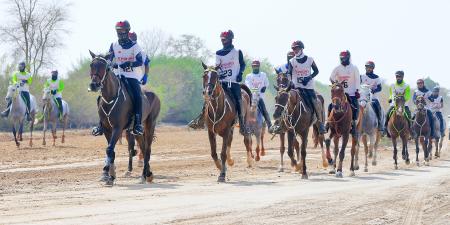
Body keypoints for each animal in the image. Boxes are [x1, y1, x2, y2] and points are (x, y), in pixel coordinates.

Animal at [88, 51, 160, 186]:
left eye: (106, 67)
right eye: (91, 65)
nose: (94, 85)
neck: (110, 97)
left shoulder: (117, 128)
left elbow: (109, 149)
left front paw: (108, 174)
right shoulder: (107, 129)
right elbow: (110, 150)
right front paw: (109, 175)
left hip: (150, 125)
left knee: (147, 149)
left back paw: (146, 175)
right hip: (136, 131)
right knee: (142, 148)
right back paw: (145, 174)